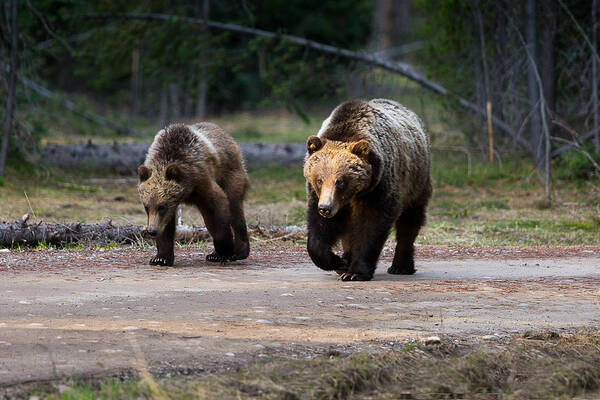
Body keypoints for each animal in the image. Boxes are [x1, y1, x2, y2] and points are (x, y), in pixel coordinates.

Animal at [138, 122, 248, 266]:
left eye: (161, 207)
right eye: (146, 207)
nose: (151, 231)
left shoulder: (202, 180)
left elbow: (219, 203)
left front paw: (226, 249)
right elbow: (166, 226)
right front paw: (160, 258)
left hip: (231, 174)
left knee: (234, 208)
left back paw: (239, 251)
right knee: (209, 219)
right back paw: (215, 255)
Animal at [304, 99, 432, 282]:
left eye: (340, 181)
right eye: (319, 180)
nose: (325, 208)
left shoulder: (378, 188)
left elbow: (371, 225)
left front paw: (355, 272)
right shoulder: (319, 196)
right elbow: (319, 229)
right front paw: (338, 262)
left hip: (416, 181)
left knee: (410, 221)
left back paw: (401, 266)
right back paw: (347, 258)